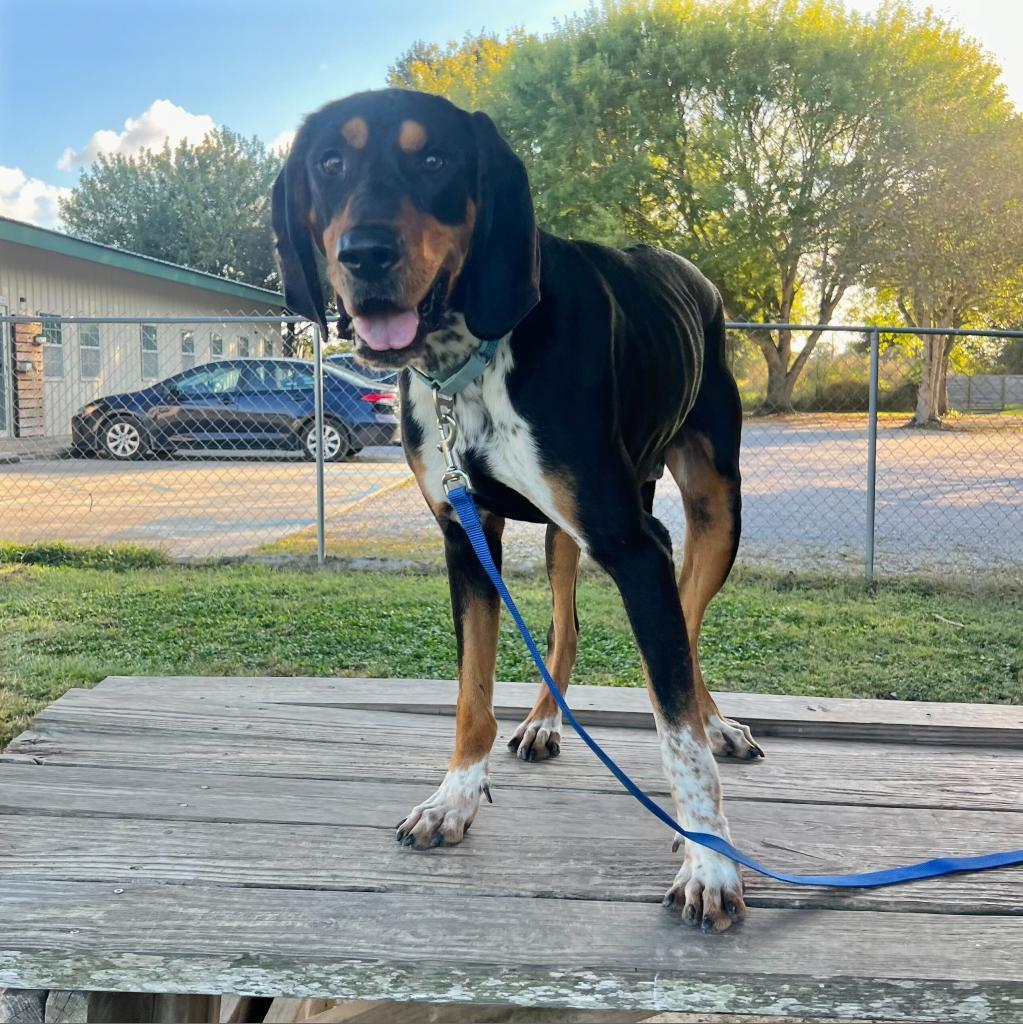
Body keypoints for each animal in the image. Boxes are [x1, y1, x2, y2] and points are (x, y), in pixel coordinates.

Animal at [272, 90, 761, 937]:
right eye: (329, 163)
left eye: (434, 159)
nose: (365, 255)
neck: (467, 363)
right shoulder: (465, 538)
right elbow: (472, 693)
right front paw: (454, 798)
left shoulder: (636, 548)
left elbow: (674, 726)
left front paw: (709, 858)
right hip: (567, 536)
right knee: (566, 629)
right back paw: (542, 721)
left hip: (710, 513)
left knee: (689, 634)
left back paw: (715, 725)